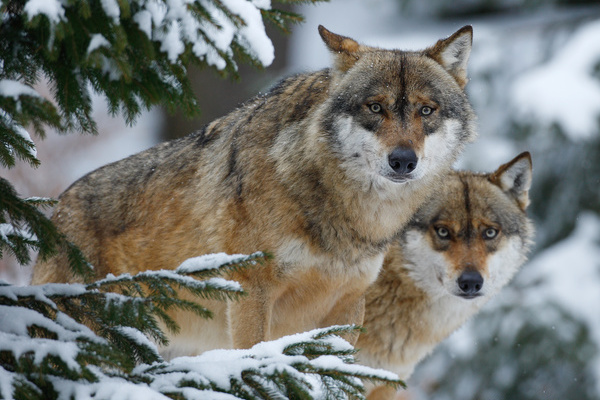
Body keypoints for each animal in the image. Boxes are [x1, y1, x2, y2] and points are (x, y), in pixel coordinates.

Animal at [31, 25, 478, 356]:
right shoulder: (251, 291)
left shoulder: (349, 304)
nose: (403, 161)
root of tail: (56, 212)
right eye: (375, 107)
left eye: (426, 110)